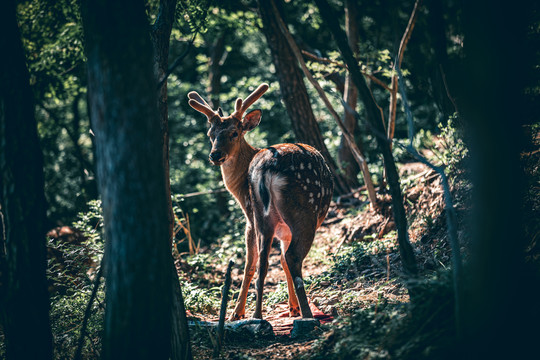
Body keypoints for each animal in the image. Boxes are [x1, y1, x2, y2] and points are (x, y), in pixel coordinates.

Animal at [189, 83, 334, 320]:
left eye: (234, 132)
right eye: (211, 134)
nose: (215, 155)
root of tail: (267, 168)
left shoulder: (262, 221)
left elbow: (273, 261)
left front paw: (291, 307)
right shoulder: (251, 219)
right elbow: (269, 261)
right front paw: (237, 313)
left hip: (264, 217)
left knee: (265, 263)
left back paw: (259, 316)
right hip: (302, 211)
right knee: (291, 257)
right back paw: (306, 315)